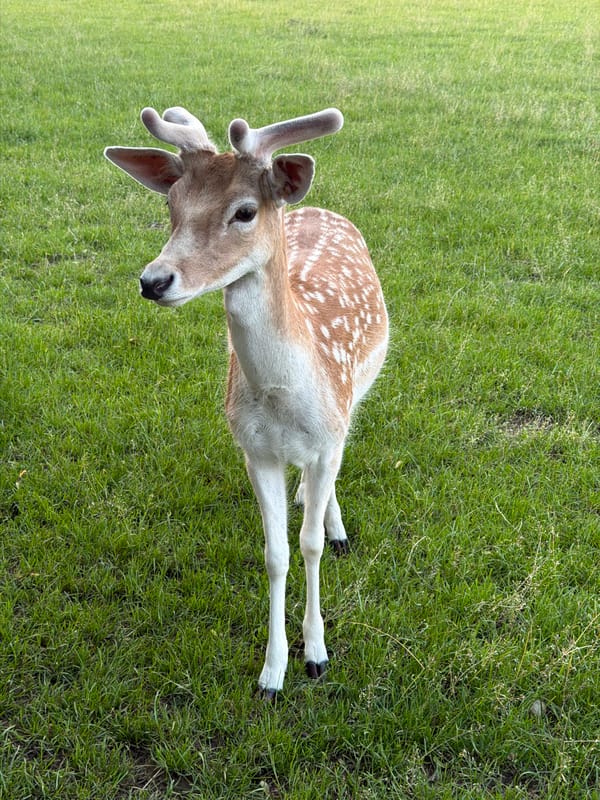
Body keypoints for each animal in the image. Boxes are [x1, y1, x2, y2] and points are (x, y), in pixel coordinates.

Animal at [104, 105, 388, 698]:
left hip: (357, 394)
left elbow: (310, 545)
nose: (153, 280)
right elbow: (276, 554)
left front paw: (317, 653)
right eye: (171, 205)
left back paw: (333, 522)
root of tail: (317, 206)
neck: (285, 400)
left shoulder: (328, 435)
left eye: (245, 211)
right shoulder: (253, 450)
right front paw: (272, 673)